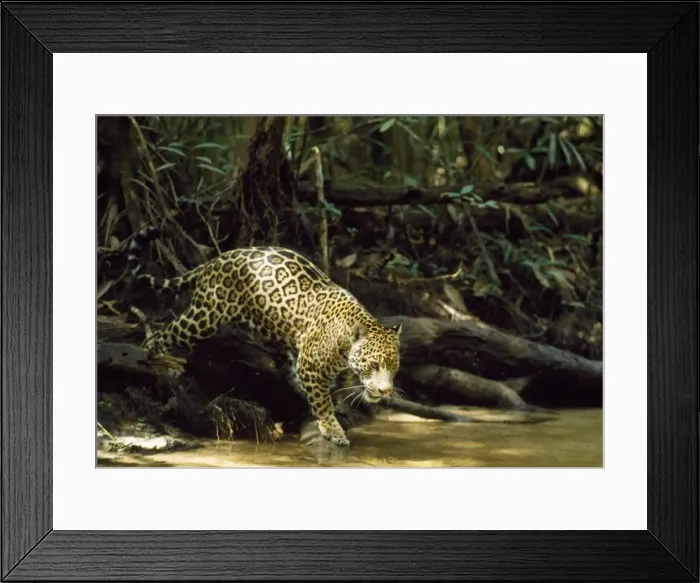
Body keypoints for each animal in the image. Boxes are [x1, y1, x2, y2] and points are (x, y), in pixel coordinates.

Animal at [125, 226, 402, 447]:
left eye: (394, 367)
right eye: (373, 364)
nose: (385, 390)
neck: (345, 342)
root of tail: (217, 259)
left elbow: (341, 386)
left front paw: (347, 401)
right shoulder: (311, 364)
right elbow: (323, 402)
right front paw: (333, 429)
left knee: (285, 363)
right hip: (205, 315)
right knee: (164, 334)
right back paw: (158, 362)